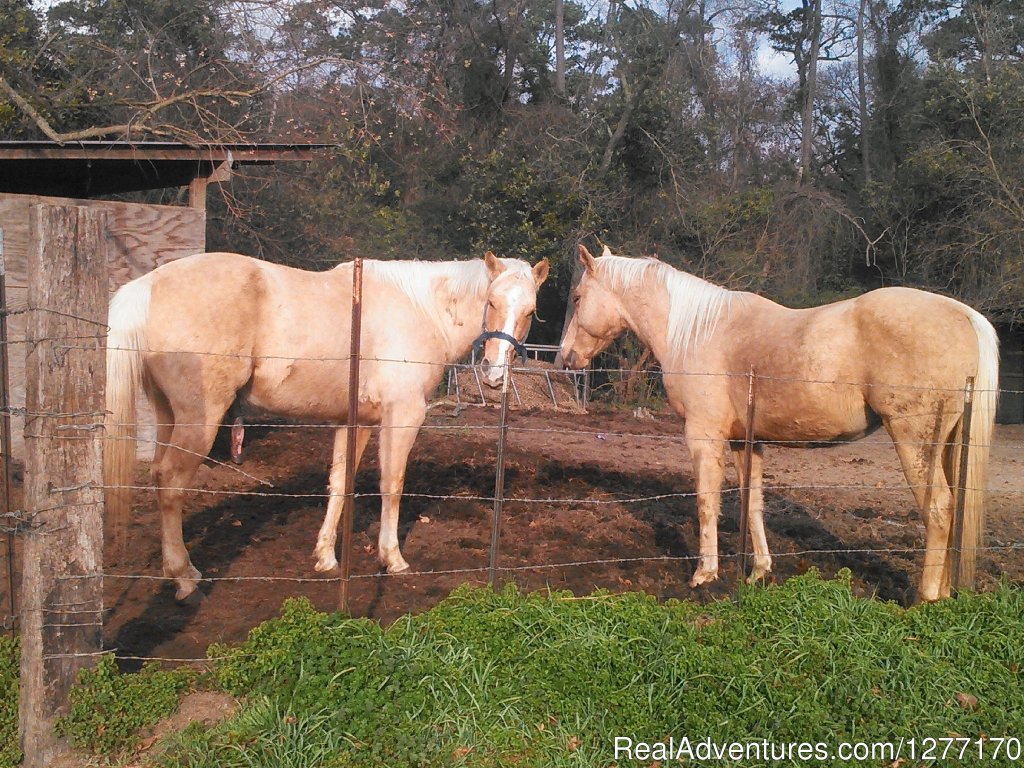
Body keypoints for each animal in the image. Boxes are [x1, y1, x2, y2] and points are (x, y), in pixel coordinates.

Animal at [107, 252, 548, 602]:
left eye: (529, 312)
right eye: (491, 301)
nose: (494, 375)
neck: (420, 309)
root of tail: (148, 284)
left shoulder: (356, 422)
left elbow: (340, 482)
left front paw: (325, 556)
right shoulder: (403, 414)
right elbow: (393, 484)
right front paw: (392, 558)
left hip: (168, 415)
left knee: (159, 476)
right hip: (200, 419)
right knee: (171, 482)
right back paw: (184, 578)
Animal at [565, 246, 995, 602]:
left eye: (576, 298)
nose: (566, 358)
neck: (698, 331)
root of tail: (965, 315)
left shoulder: (704, 437)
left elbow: (706, 504)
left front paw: (705, 575)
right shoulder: (746, 442)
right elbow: (753, 503)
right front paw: (759, 572)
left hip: (914, 442)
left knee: (938, 509)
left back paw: (926, 597)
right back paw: (943, 591)